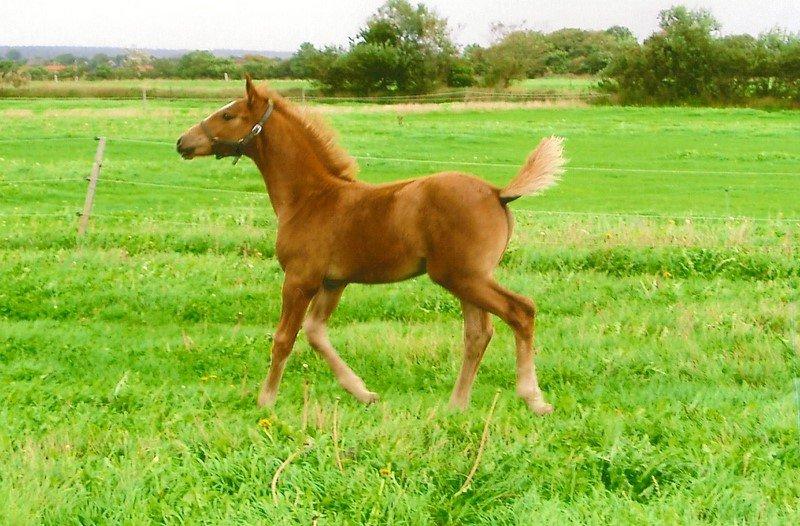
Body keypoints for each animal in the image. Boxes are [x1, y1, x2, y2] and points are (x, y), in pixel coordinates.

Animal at [177, 78, 564, 416]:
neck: (310, 198)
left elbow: (284, 338)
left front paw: (266, 400)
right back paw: (456, 405)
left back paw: (534, 399)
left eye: (228, 115)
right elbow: (316, 333)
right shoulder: (334, 281)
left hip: (463, 277)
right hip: (468, 279)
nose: (183, 142)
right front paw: (364, 393)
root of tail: (498, 193)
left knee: (520, 311)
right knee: (478, 333)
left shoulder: (300, 278)